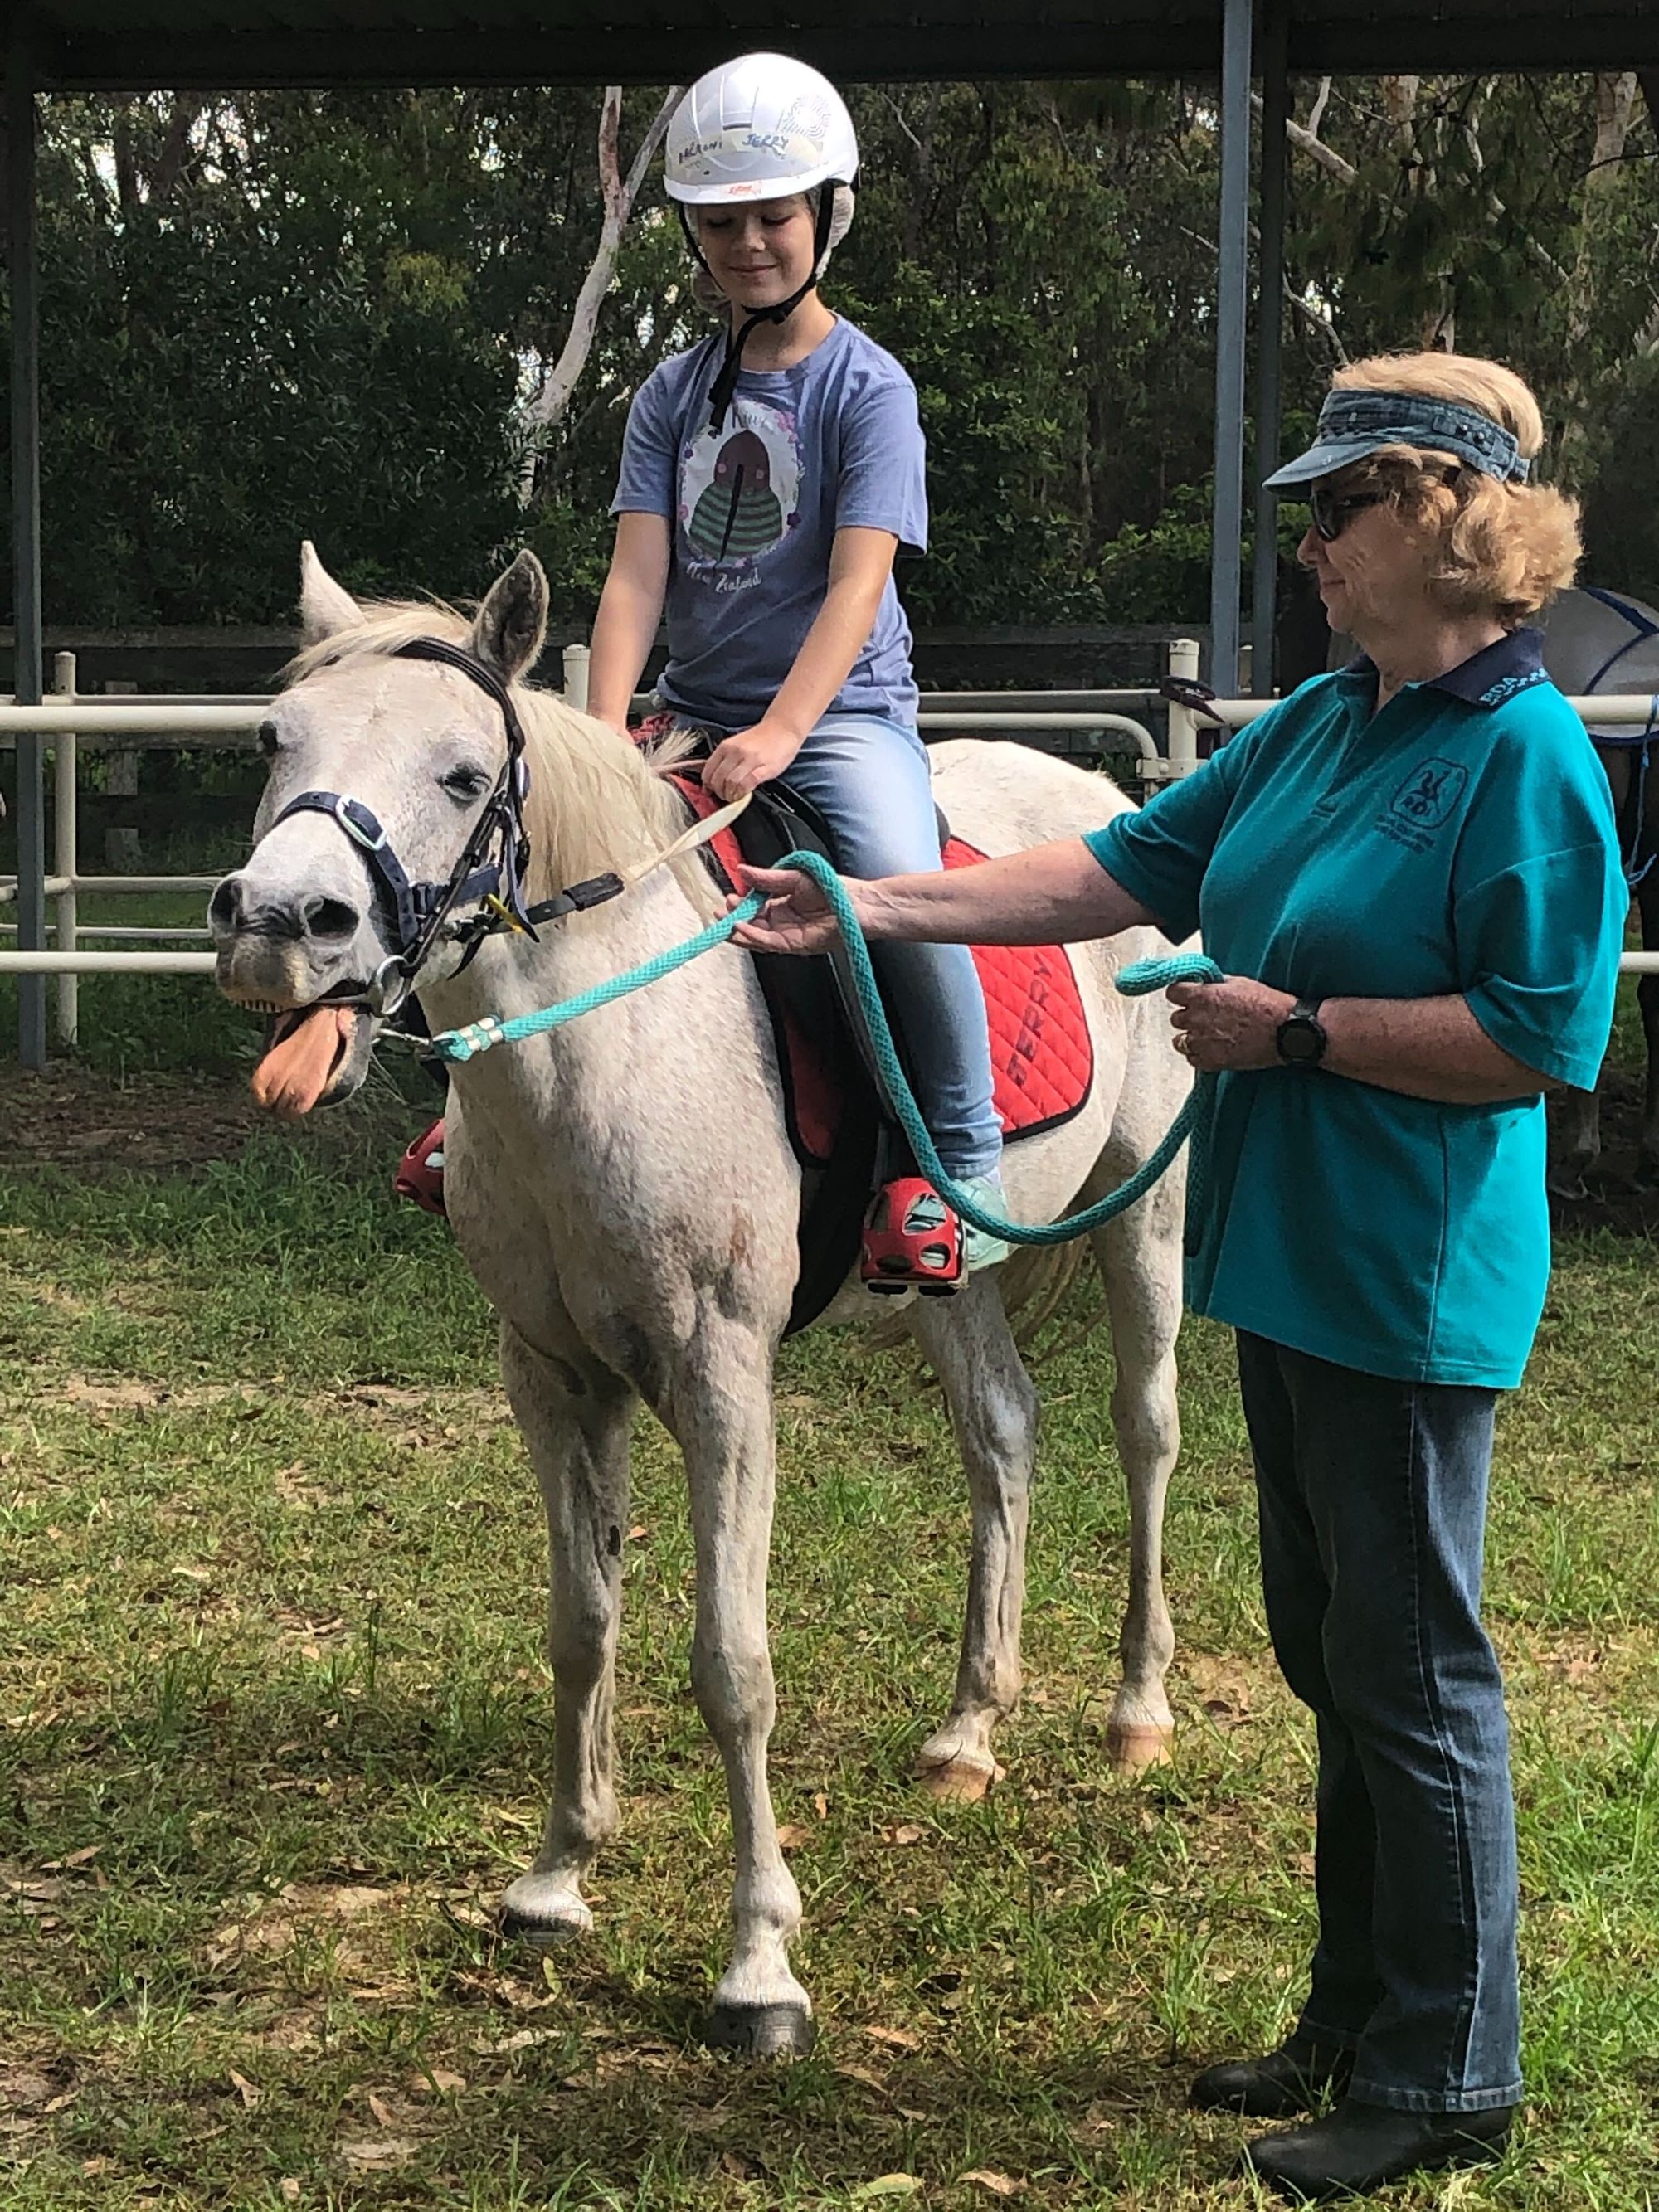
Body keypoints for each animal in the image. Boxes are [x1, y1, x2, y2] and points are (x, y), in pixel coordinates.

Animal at [211, 548, 1194, 2052]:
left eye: (460, 772)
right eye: (278, 742)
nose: (279, 926)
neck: (608, 1048)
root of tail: (1101, 801)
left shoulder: (724, 1377)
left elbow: (734, 1667)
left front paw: (759, 1964)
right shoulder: (552, 1371)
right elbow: (581, 1621)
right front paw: (557, 1874)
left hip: (1146, 1204)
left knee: (1145, 1431)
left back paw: (1137, 1709)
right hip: (951, 1279)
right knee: (1004, 1439)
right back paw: (968, 1729)